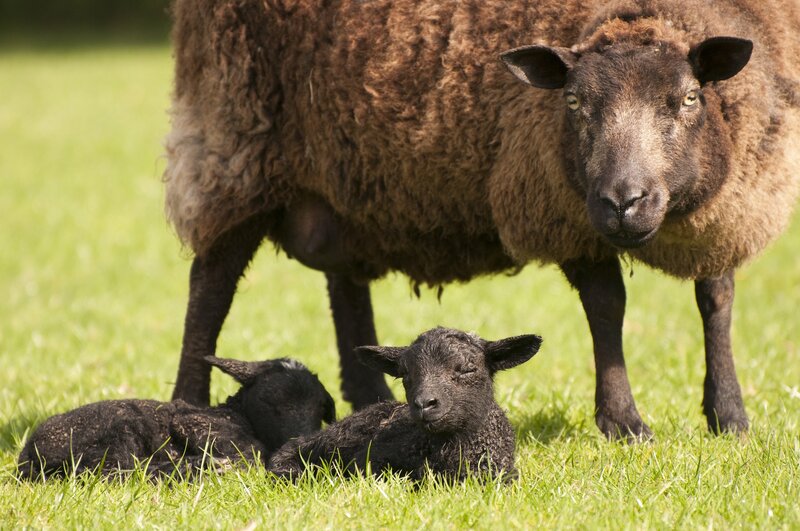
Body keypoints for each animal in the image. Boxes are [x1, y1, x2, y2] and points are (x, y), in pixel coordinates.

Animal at [17, 356, 335, 479]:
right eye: (270, 402)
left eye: (320, 408)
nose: (299, 440)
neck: (236, 414)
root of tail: (29, 455)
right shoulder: (195, 424)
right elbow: (252, 455)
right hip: (118, 431)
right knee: (118, 471)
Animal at [164, 0, 800, 440]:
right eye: (573, 102)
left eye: (690, 98)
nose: (624, 201)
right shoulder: (561, 206)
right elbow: (607, 307)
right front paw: (624, 423)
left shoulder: (728, 209)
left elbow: (717, 300)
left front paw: (729, 416)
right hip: (234, 142)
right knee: (210, 285)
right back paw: (187, 404)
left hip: (348, 177)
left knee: (345, 286)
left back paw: (371, 398)